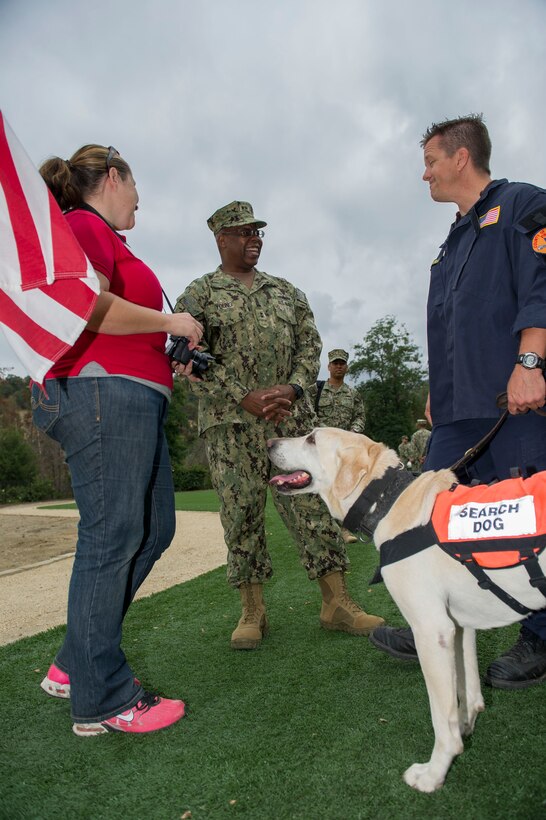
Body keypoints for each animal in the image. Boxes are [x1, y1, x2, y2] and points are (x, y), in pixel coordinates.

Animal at [266, 430, 544, 796]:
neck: (386, 500)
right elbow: (467, 691)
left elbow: (441, 715)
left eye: (311, 438)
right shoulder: (458, 626)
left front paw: (434, 773)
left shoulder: (431, 631)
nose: (268, 443)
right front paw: (466, 728)